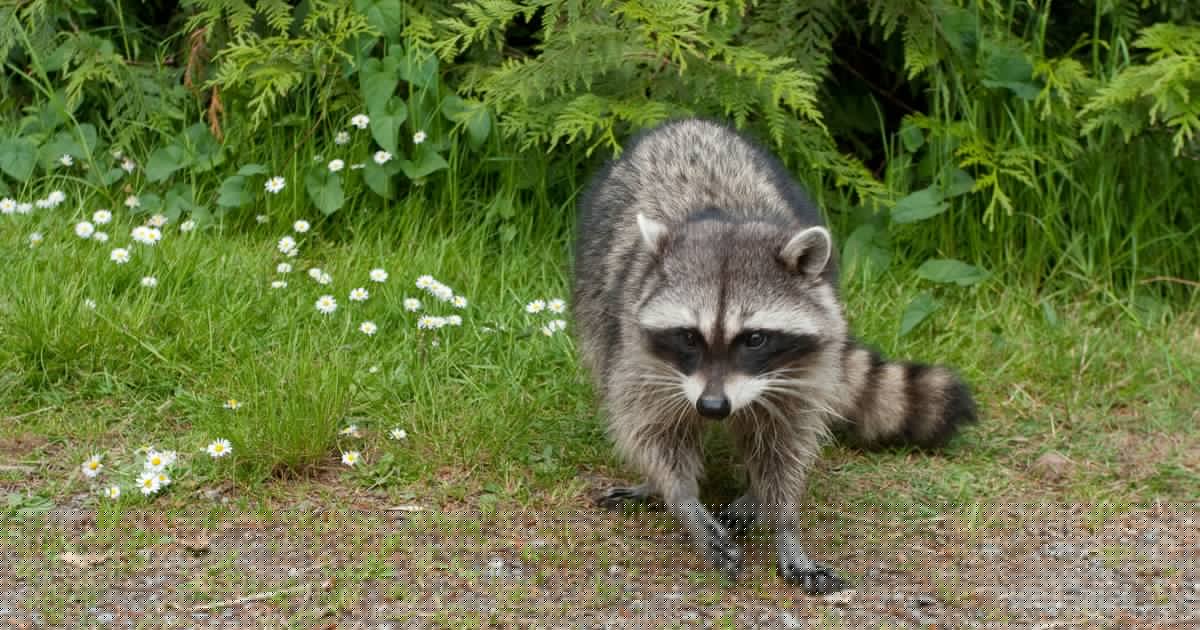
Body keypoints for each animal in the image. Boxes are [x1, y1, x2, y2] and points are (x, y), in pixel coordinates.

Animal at [571, 118, 977, 594]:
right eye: (689, 337)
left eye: (755, 339)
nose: (713, 407)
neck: (721, 220)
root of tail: (686, 123)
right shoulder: (637, 352)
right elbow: (651, 432)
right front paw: (684, 502)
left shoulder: (801, 370)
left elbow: (785, 444)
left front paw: (783, 520)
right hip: (596, 297)